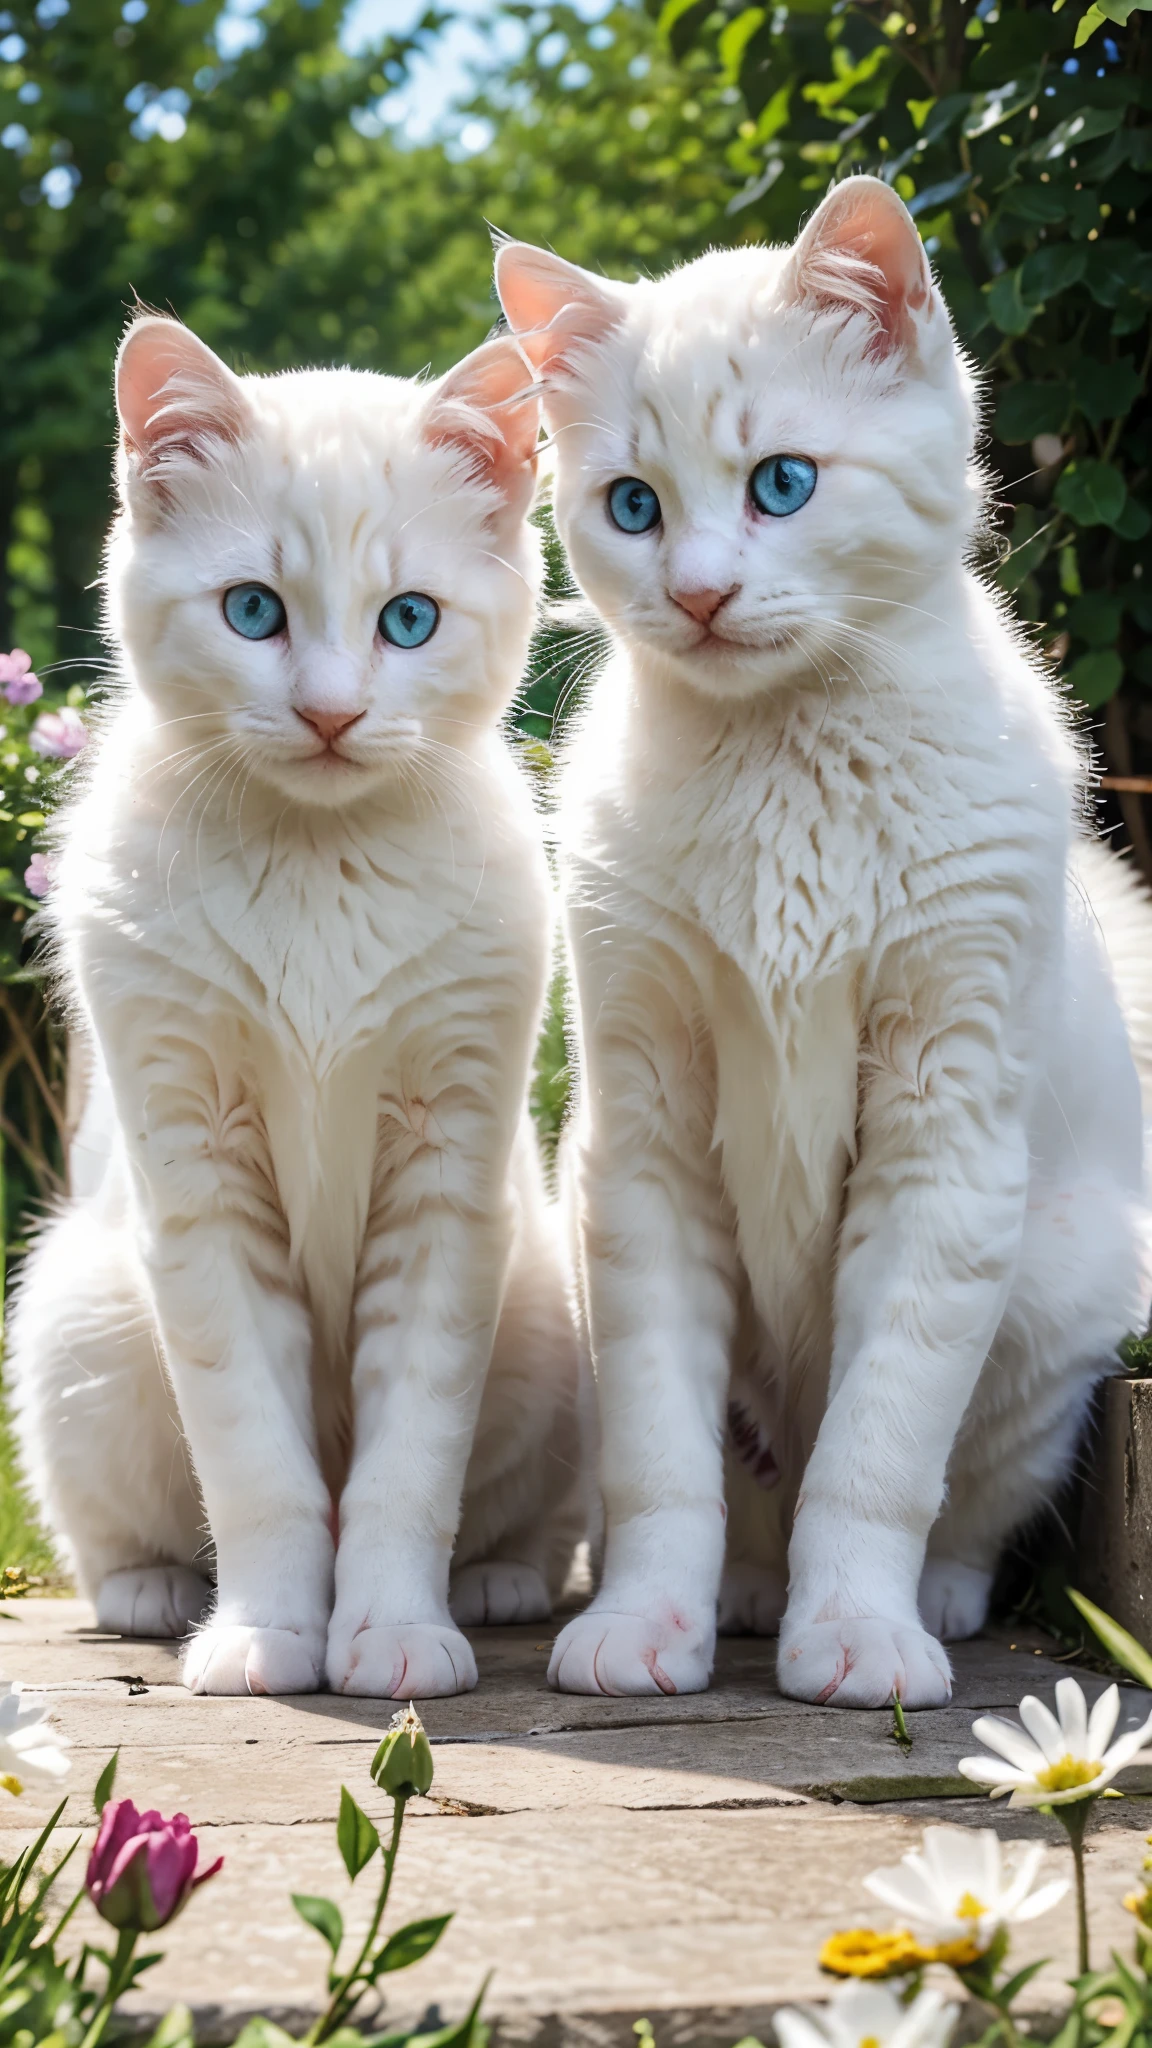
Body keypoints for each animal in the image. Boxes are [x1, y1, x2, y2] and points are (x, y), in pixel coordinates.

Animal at [8, 315, 582, 1695]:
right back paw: (155, 1594)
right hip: (76, 1317)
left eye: (410, 618)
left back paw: (497, 1578)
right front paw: (270, 1634)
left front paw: (394, 1635)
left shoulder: (445, 1182)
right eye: (252, 610)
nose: (330, 710)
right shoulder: (200, 1188)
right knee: (110, 1525)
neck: (321, 865)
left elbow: (406, 1460)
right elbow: (256, 1458)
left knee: (524, 1506)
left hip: (546, 1311)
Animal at [494, 180, 1147, 1712]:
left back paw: (928, 1607)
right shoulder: (643, 1144)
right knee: (736, 1491)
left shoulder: (942, 1136)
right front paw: (646, 1626)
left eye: (782, 483)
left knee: (964, 1499)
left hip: (1055, 1292)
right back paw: (739, 1592)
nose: (698, 593)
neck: (784, 754)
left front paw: (856, 1637)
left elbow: (880, 1446)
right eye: (631, 504)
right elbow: (662, 1458)